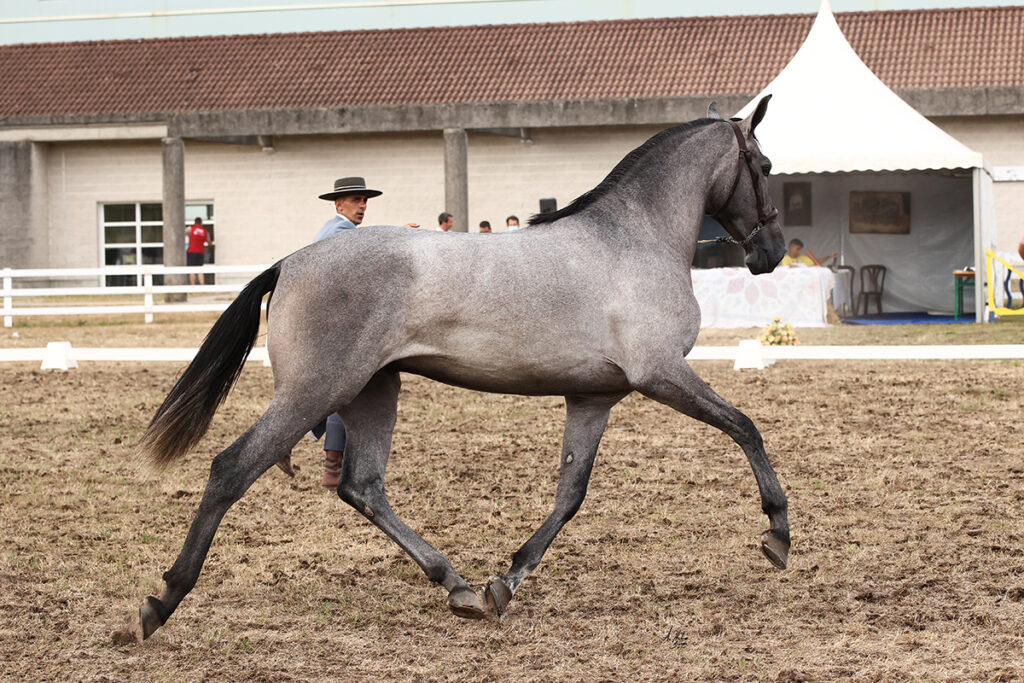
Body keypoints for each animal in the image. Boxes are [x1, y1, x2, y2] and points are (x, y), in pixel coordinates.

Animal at [136, 97, 786, 643]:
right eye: (766, 164)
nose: (771, 253)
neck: (631, 241)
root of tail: (290, 262)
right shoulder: (660, 374)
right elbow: (745, 427)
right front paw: (777, 533)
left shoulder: (593, 397)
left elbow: (570, 494)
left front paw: (507, 581)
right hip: (314, 392)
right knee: (231, 470)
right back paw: (160, 603)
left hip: (373, 391)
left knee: (361, 485)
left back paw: (459, 587)